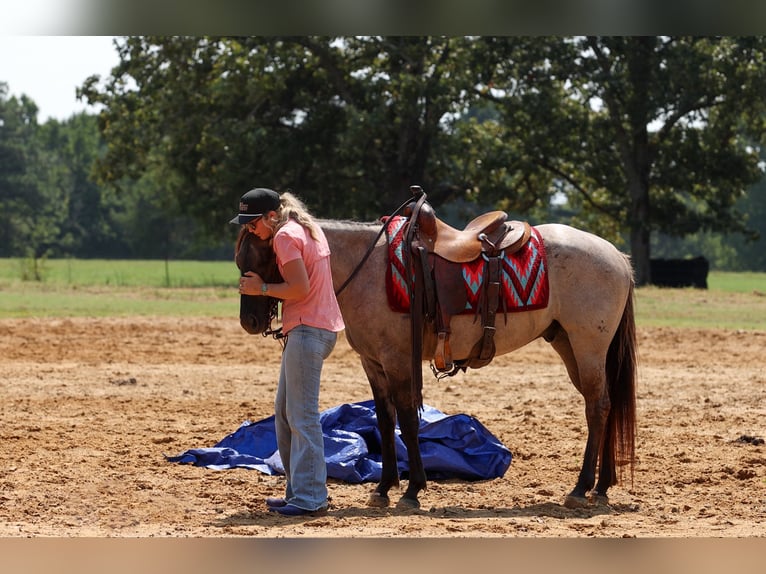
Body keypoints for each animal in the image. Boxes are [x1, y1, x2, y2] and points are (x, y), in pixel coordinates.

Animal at [235, 210, 637, 511]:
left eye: (262, 257)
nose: (249, 322)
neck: (369, 268)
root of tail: (617, 256)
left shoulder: (399, 360)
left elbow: (409, 421)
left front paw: (413, 489)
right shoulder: (373, 364)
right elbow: (385, 421)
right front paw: (384, 488)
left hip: (588, 346)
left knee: (598, 407)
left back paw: (582, 487)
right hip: (568, 343)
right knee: (604, 405)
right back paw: (602, 486)